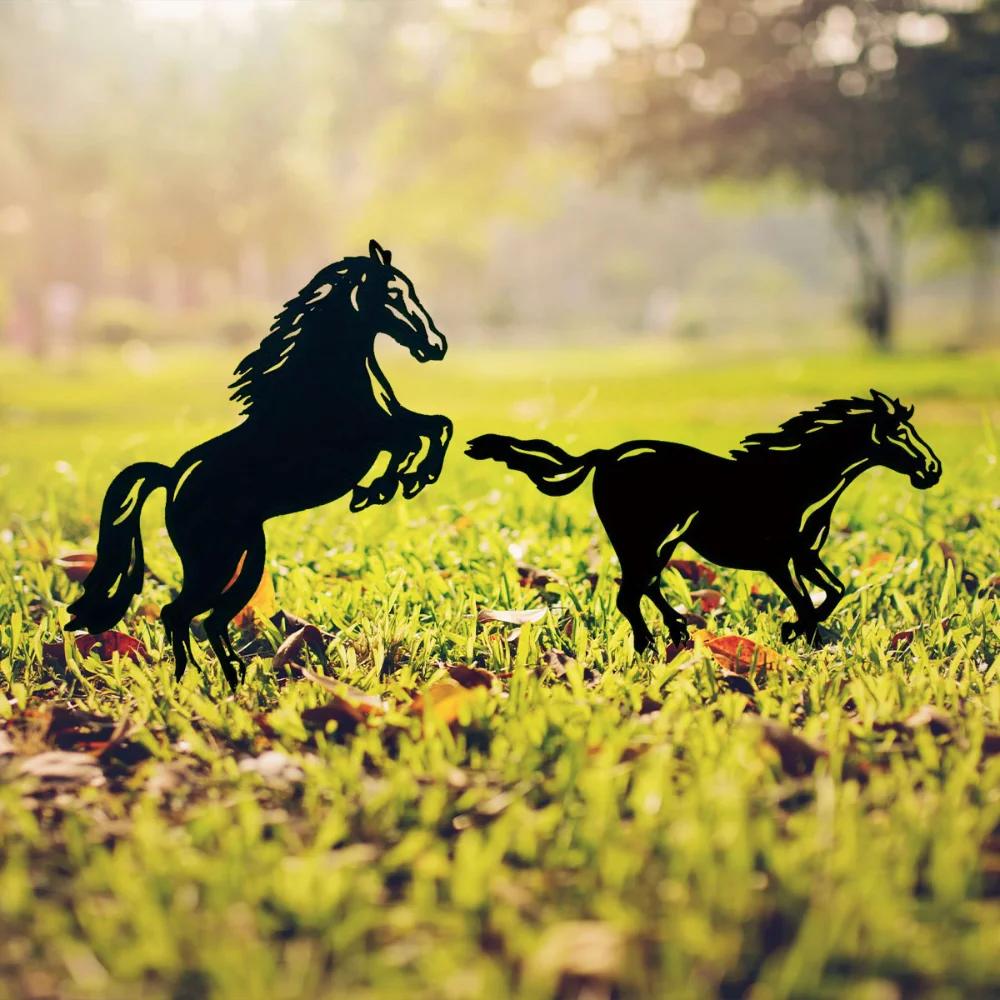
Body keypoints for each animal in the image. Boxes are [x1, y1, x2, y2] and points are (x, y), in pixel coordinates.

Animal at [67, 240, 453, 688]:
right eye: (392, 294)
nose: (437, 346)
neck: (327, 380)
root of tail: (171, 478)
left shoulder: (395, 423)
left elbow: (437, 427)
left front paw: (403, 482)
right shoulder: (371, 438)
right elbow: (414, 441)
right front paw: (386, 487)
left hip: (246, 556)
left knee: (210, 620)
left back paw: (233, 677)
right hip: (216, 560)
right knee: (178, 613)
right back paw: (193, 678)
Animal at [467, 389, 941, 651]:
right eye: (900, 433)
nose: (932, 470)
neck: (799, 479)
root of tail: (605, 456)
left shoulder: (804, 556)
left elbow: (834, 591)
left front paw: (804, 635)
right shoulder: (779, 560)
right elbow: (808, 601)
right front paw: (795, 632)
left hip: (656, 544)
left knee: (645, 587)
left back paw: (677, 630)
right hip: (647, 540)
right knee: (630, 595)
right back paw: (650, 643)